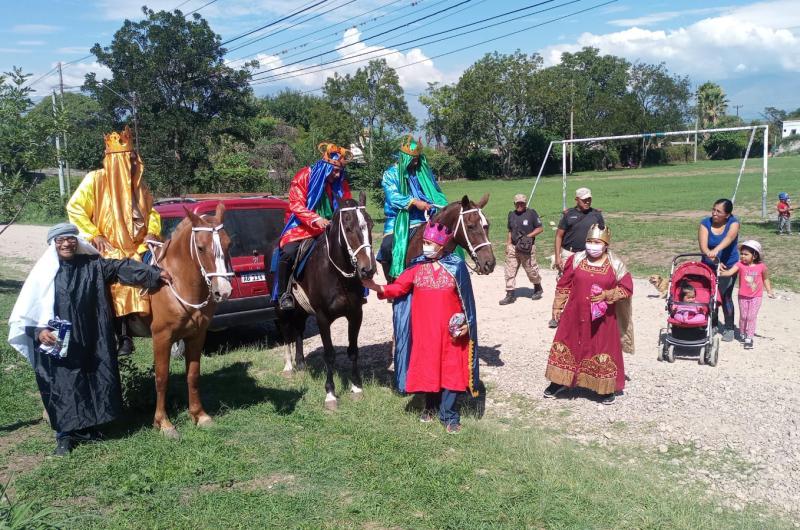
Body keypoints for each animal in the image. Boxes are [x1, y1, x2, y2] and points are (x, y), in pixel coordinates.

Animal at [141, 200, 233, 436]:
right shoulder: (161, 337)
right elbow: (161, 377)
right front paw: (163, 423)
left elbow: (193, 375)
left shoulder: (196, 335)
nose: (223, 291)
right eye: (200, 248)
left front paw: (199, 415)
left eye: (228, 244)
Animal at [276, 193, 376, 408]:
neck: (336, 274)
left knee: (298, 331)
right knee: (286, 332)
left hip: (302, 310)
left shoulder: (355, 314)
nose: (368, 269)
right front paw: (330, 393)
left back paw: (301, 364)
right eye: (348, 228)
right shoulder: (322, 318)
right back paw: (289, 367)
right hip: (280, 308)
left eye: (370, 225)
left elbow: (353, 350)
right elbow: (329, 354)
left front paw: (356, 387)